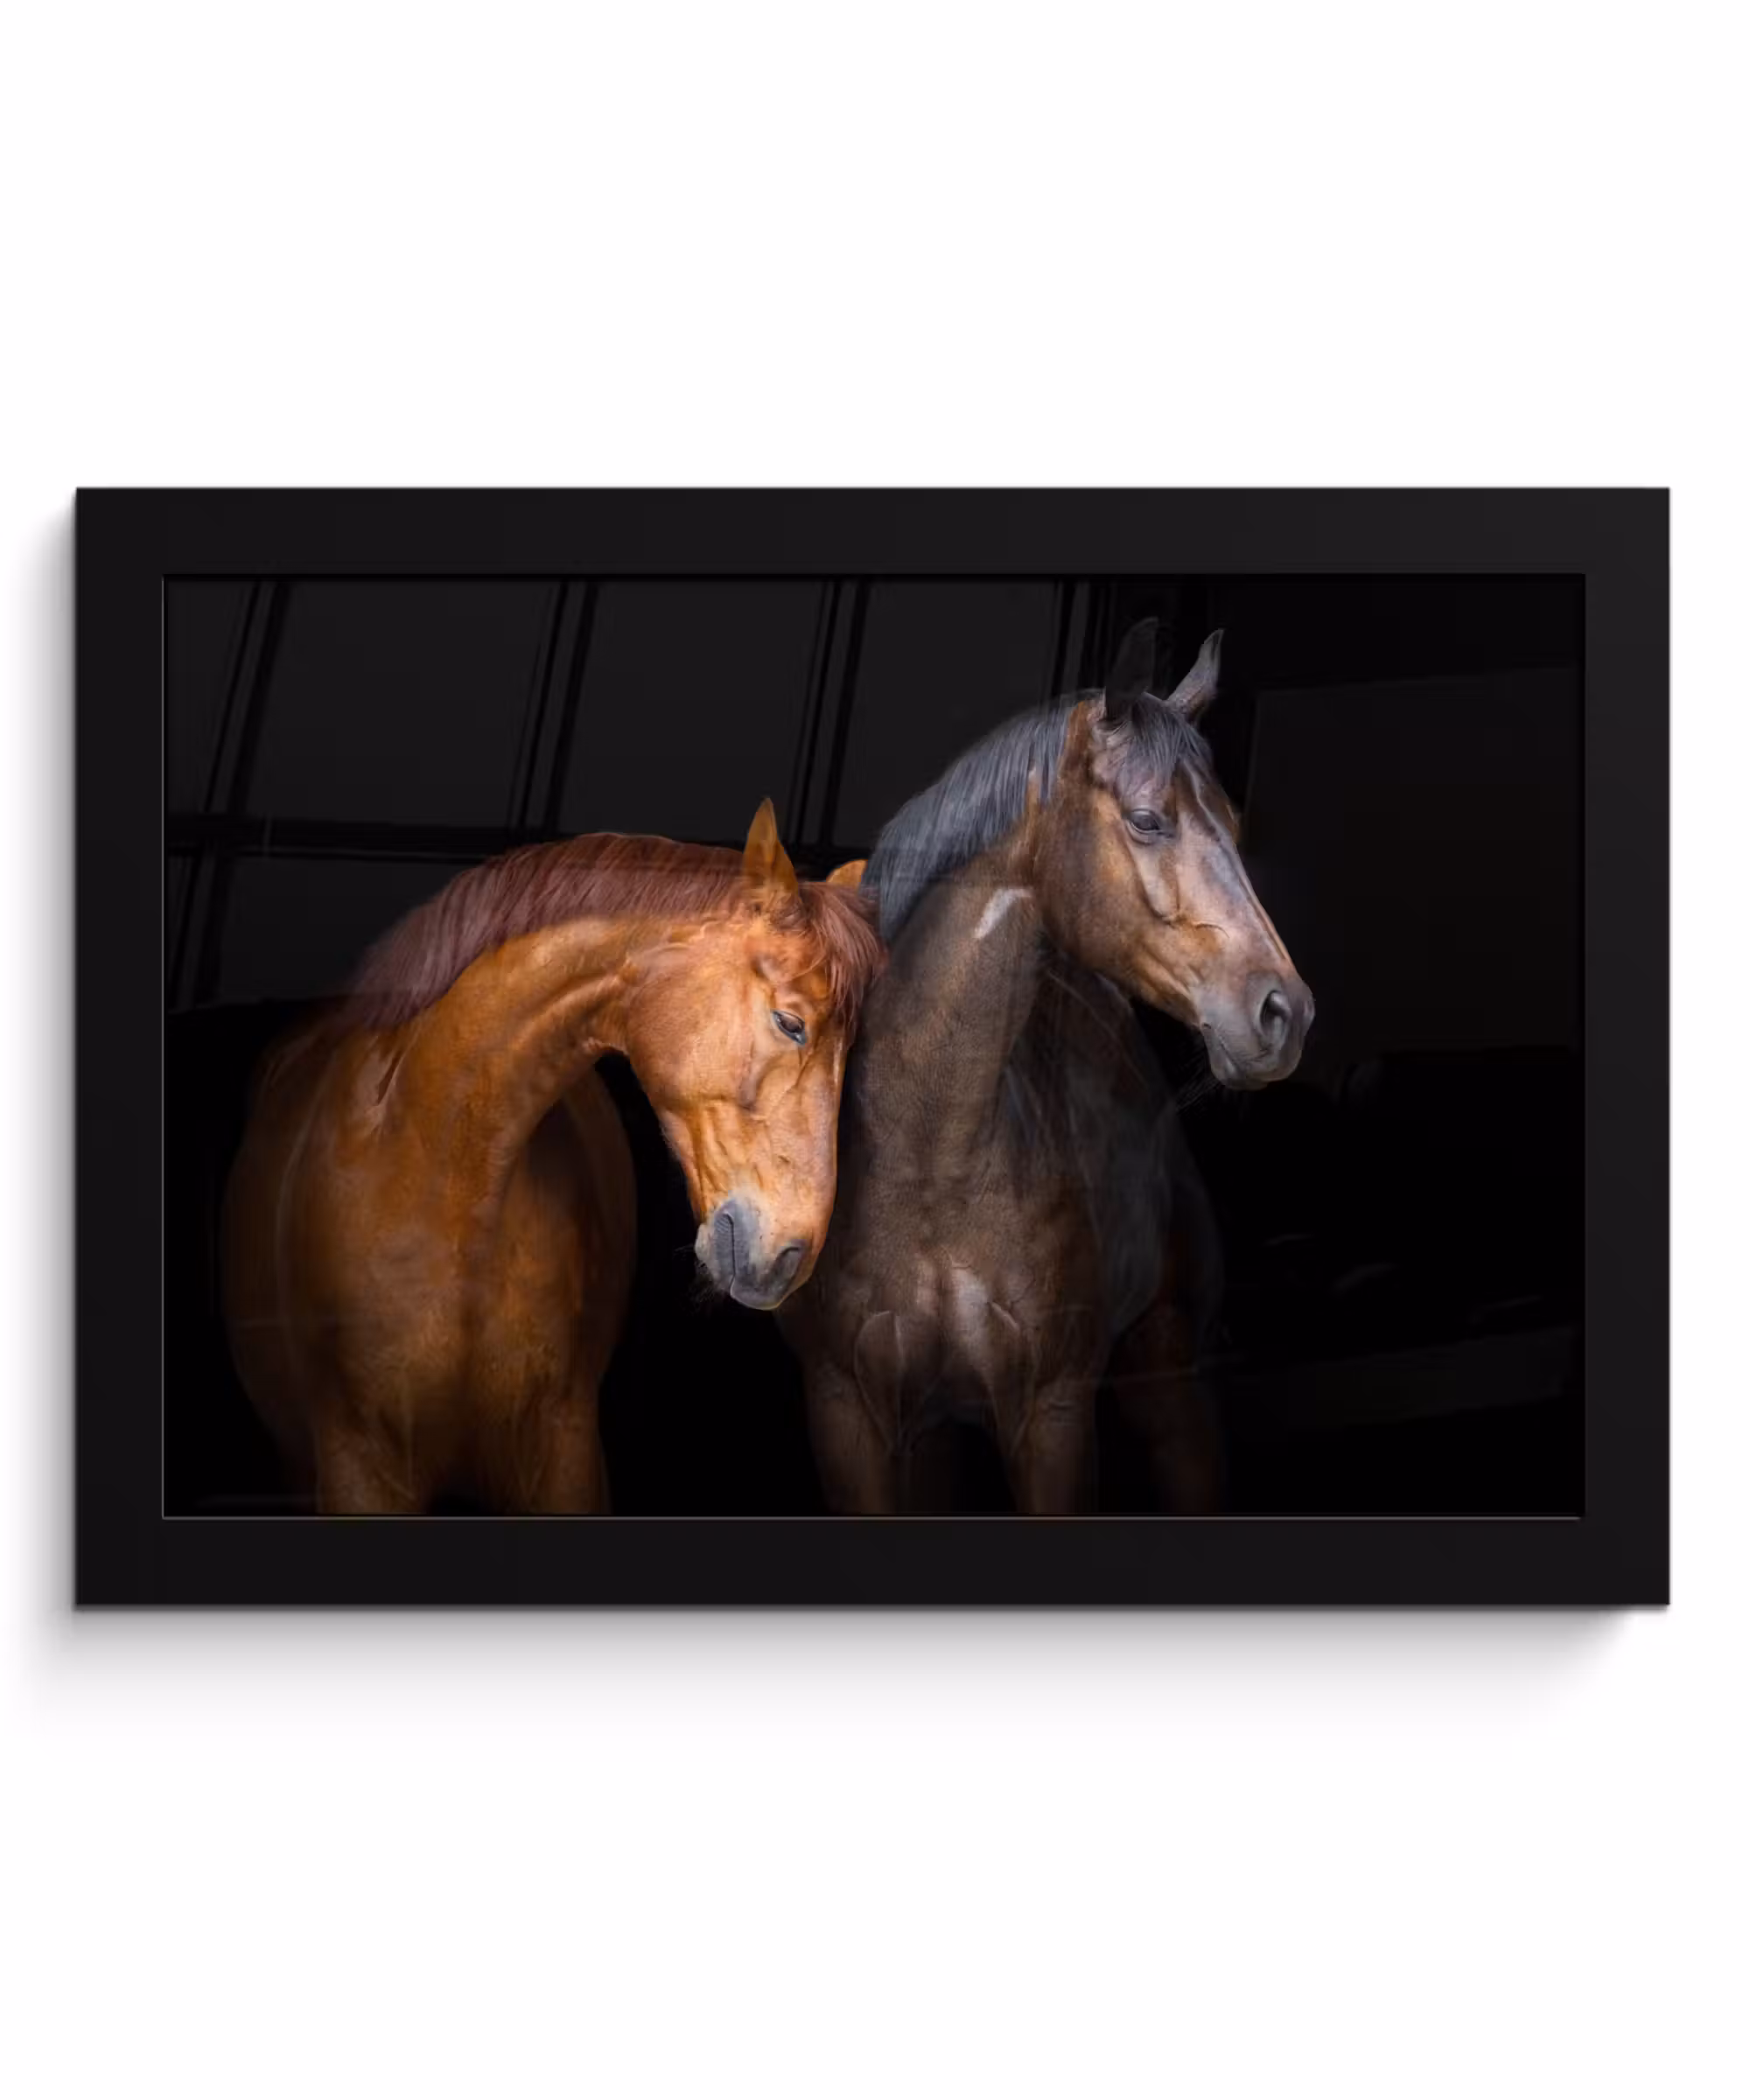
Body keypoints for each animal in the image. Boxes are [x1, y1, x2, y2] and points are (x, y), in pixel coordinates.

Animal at [780, 621, 1313, 1515]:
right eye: (1147, 820)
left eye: (1235, 827)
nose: (1285, 1014)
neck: (931, 1163)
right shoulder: (847, 1414)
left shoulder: (1053, 1417)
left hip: (1172, 1386)